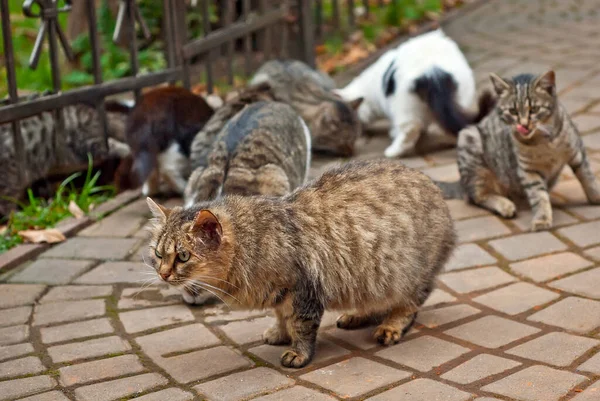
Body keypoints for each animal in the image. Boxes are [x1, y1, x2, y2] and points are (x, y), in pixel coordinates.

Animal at [146, 159, 454, 368]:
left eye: (183, 256)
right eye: (159, 254)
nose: (163, 275)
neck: (255, 242)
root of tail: (435, 187)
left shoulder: (304, 290)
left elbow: (301, 326)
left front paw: (298, 352)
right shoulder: (282, 295)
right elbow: (281, 316)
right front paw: (280, 333)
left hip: (406, 276)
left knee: (408, 306)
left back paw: (390, 326)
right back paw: (357, 315)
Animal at [436, 70, 600, 230]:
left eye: (534, 109)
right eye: (513, 111)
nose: (524, 125)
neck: (543, 142)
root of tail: (461, 182)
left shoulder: (577, 152)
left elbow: (587, 177)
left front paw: (596, 196)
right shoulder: (528, 170)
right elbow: (538, 195)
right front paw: (542, 218)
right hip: (472, 151)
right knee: (477, 197)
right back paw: (504, 205)